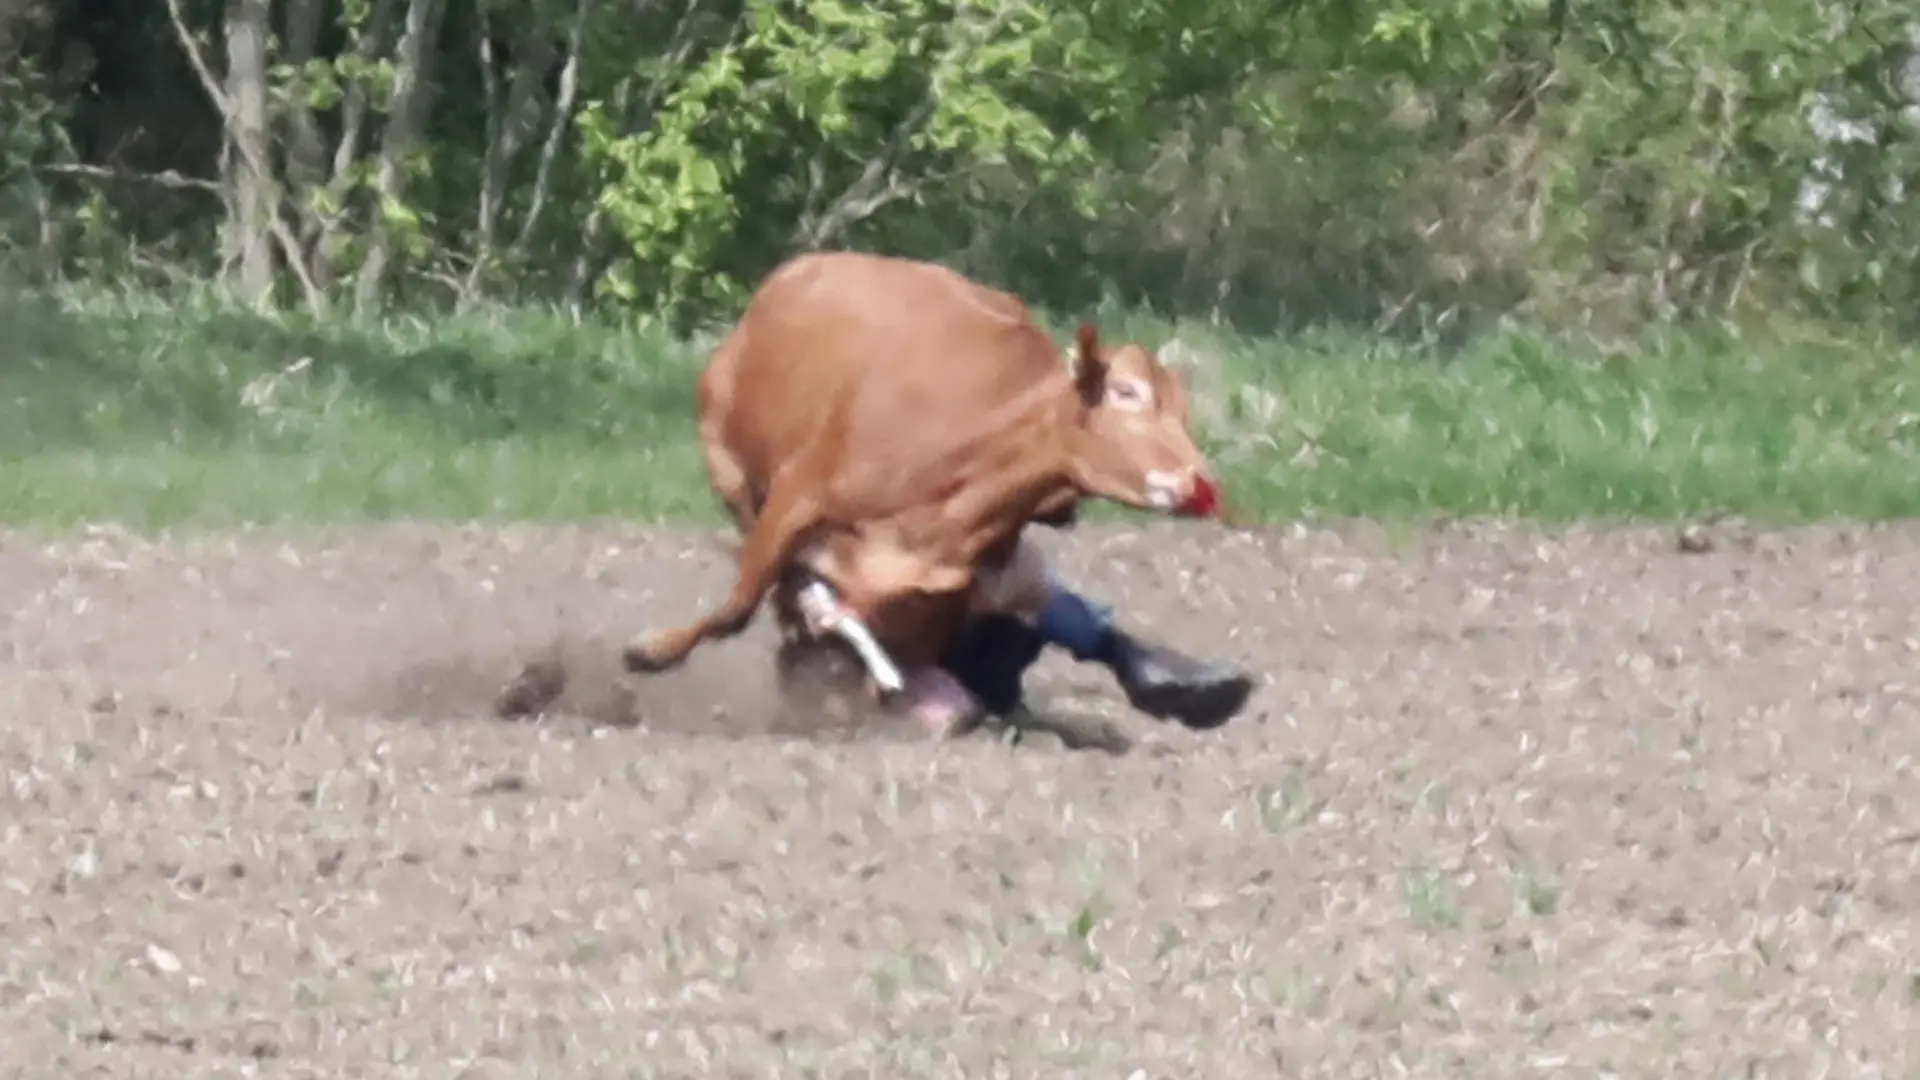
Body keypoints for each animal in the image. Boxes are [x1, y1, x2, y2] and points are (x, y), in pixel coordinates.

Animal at [620, 250, 1249, 734]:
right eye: (1125, 392)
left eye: (1184, 414)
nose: (1201, 484)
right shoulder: (796, 499)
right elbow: (740, 605)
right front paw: (651, 653)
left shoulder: (950, 585)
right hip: (729, 464)